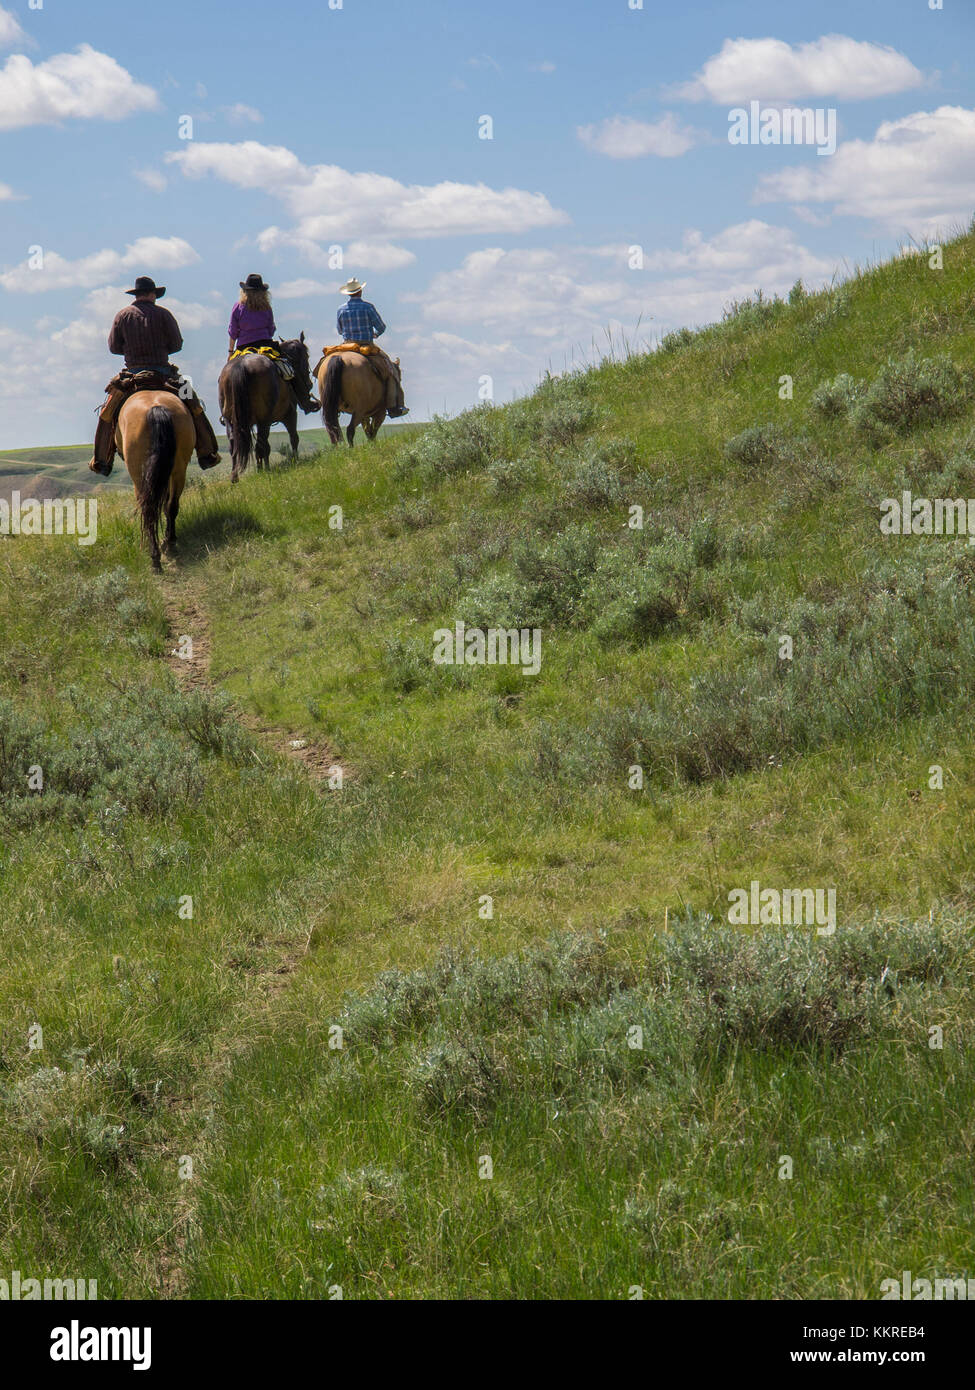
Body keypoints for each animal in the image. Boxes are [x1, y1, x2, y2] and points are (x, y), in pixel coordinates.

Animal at [218, 336, 315, 483]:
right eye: (307, 355)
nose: (309, 383)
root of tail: (240, 366)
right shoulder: (290, 415)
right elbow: (294, 438)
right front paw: (295, 460)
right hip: (264, 420)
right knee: (261, 445)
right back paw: (262, 471)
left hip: (232, 421)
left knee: (234, 445)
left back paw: (235, 477)